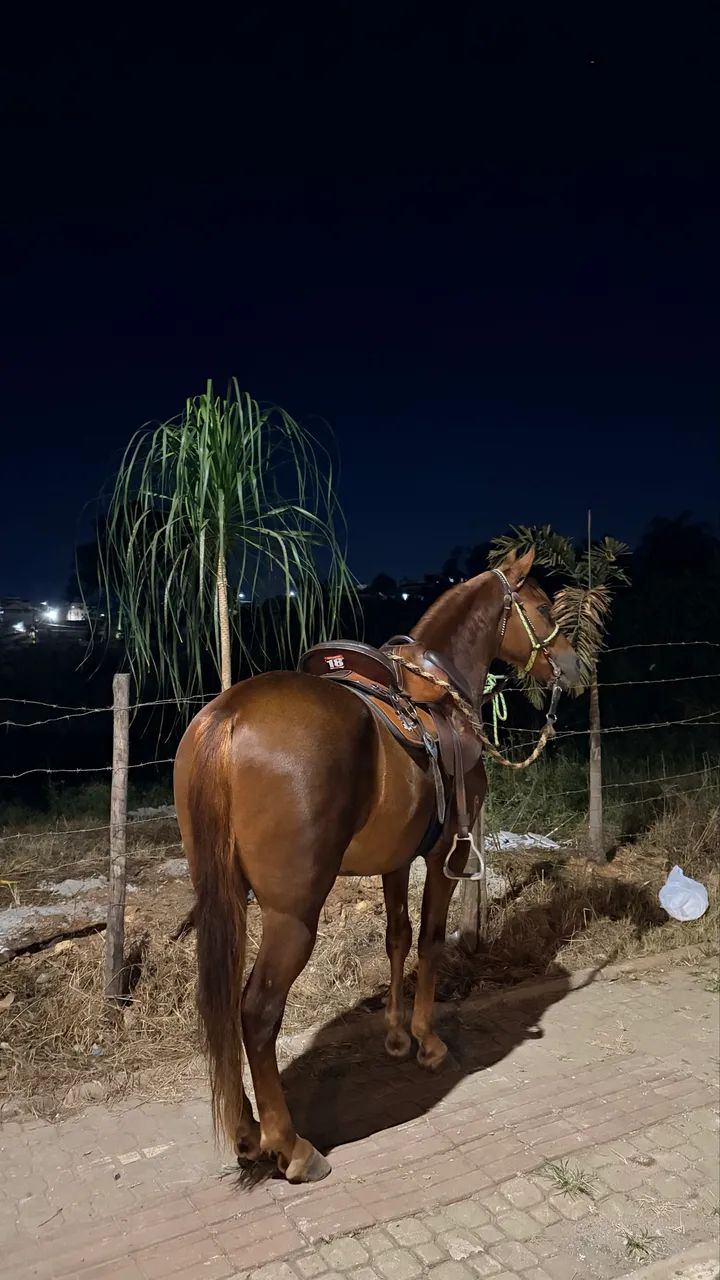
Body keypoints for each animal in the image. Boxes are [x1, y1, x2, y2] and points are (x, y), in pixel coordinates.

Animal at [173, 547, 580, 1184]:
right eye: (540, 607)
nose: (572, 667)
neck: (442, 692)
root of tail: (229, 718)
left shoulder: (396, 858)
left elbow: (397, 937)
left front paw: (393, 1035)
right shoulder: (442, 856)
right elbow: (431, 939)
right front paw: (426, 1040)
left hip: (225, 900)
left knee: (219, 1010)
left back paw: (245, 1134)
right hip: (292, 915)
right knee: (257, 1013)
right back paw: (290, 1146)